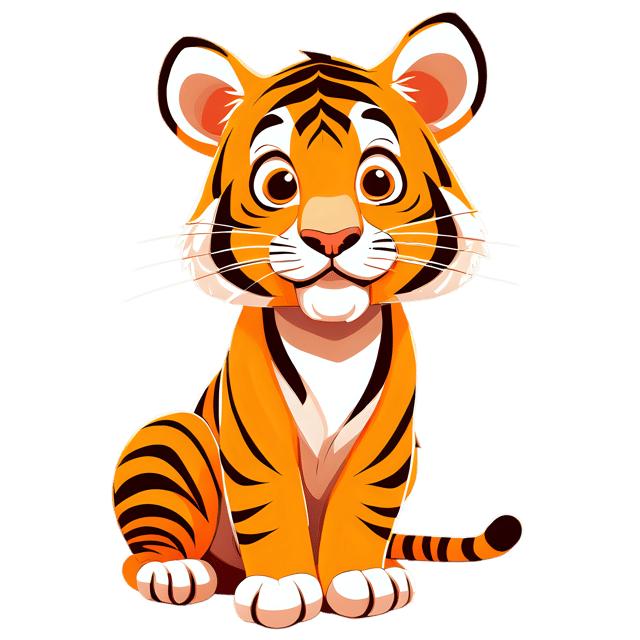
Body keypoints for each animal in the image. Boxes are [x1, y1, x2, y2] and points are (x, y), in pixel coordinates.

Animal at [113, 11, 523, 628]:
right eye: (278, 184)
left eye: (377, 181)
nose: (331, 237)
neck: (333, 337)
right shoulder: (255, 432)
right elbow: (268, 502)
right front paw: (282, 590)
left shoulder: (389, 441)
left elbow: (366, 506)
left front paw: (362, 581)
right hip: (173, 435)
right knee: (145, 553)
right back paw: (175, 572)